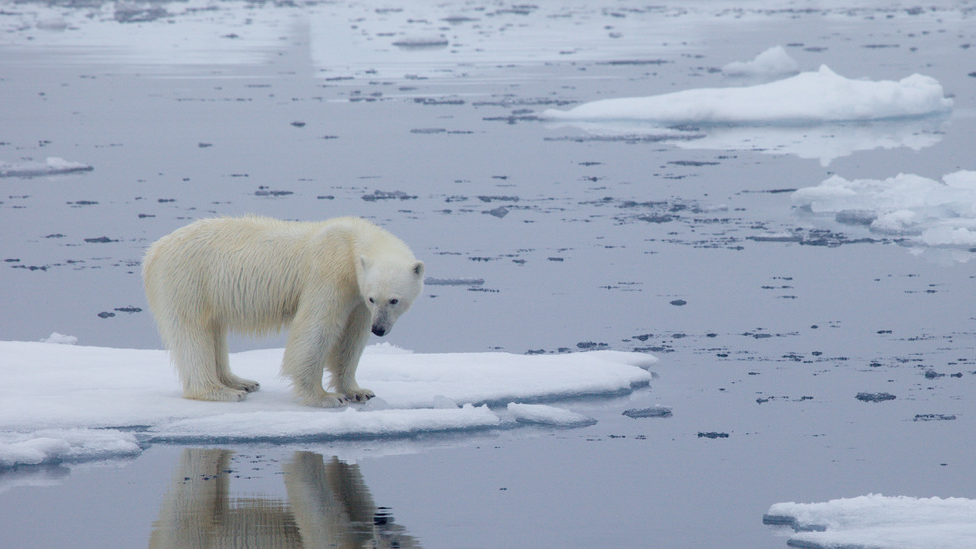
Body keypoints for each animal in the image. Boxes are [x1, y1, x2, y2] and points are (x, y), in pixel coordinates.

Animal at [143, 216, 426, 404]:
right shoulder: (330, 273)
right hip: (188, 279)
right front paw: (325, 397)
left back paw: (241, 382)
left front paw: (358, 391)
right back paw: (220, 391)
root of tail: (154, 250)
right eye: (374, 298)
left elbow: (352, 338)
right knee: (192, 332)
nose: (379, 329)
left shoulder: (355, 296)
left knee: (214, 331)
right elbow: (316, 328)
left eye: (393, 300)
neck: (350, 243)